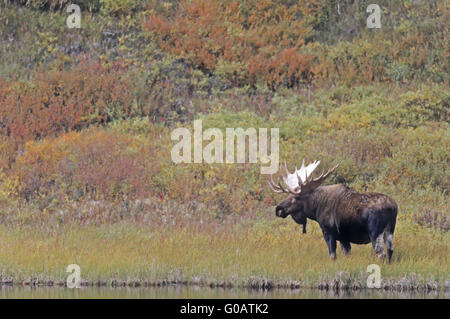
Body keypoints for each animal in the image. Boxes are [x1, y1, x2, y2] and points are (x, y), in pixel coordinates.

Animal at [268, 160, 398, 262]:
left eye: (295, 197)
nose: (278, 208)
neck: (315, 208)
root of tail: (392, 207)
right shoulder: (343, 238)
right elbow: (346, 254)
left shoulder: (329, 232)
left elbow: (332, 255)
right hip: (389, 230)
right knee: (390, 251)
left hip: (375, 232)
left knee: (381, 253)